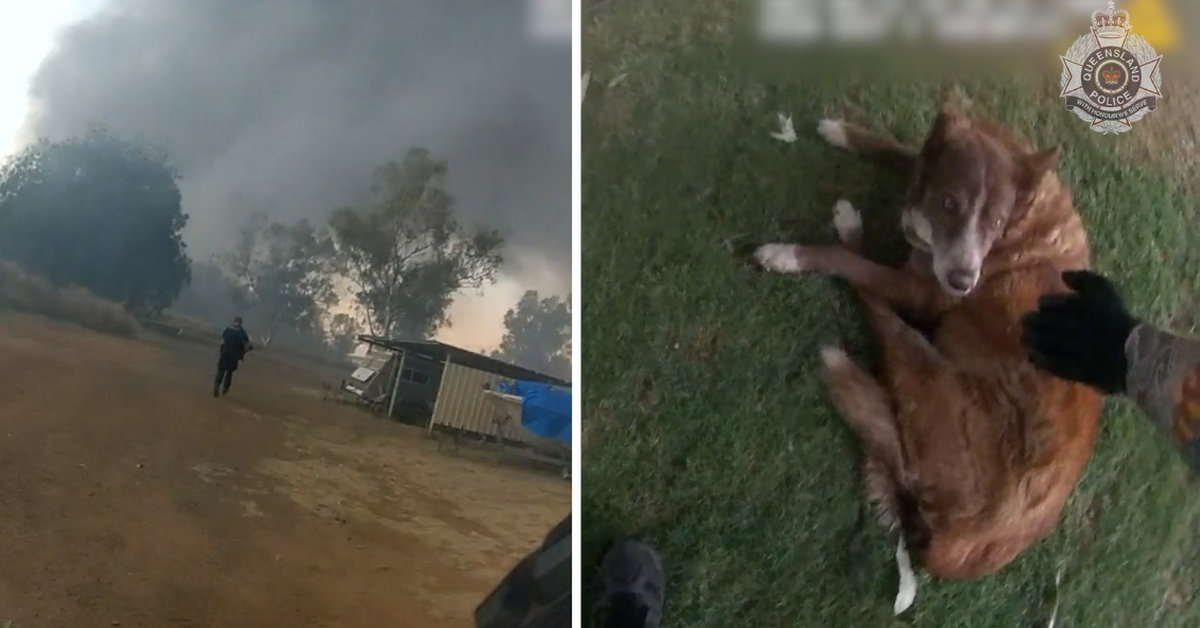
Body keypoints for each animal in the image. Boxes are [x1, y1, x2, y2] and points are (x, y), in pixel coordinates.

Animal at [758, 103, 1104, 581]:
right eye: (950, 203)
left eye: (995, 222)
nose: (962, 282)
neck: (1023, 221)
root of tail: (957, 545)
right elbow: (903, 150)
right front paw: (845, 133)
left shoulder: (920, 291)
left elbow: (849, 265)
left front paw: (791, 253)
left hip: (926, 359)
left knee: (878, 310)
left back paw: (849, 231)